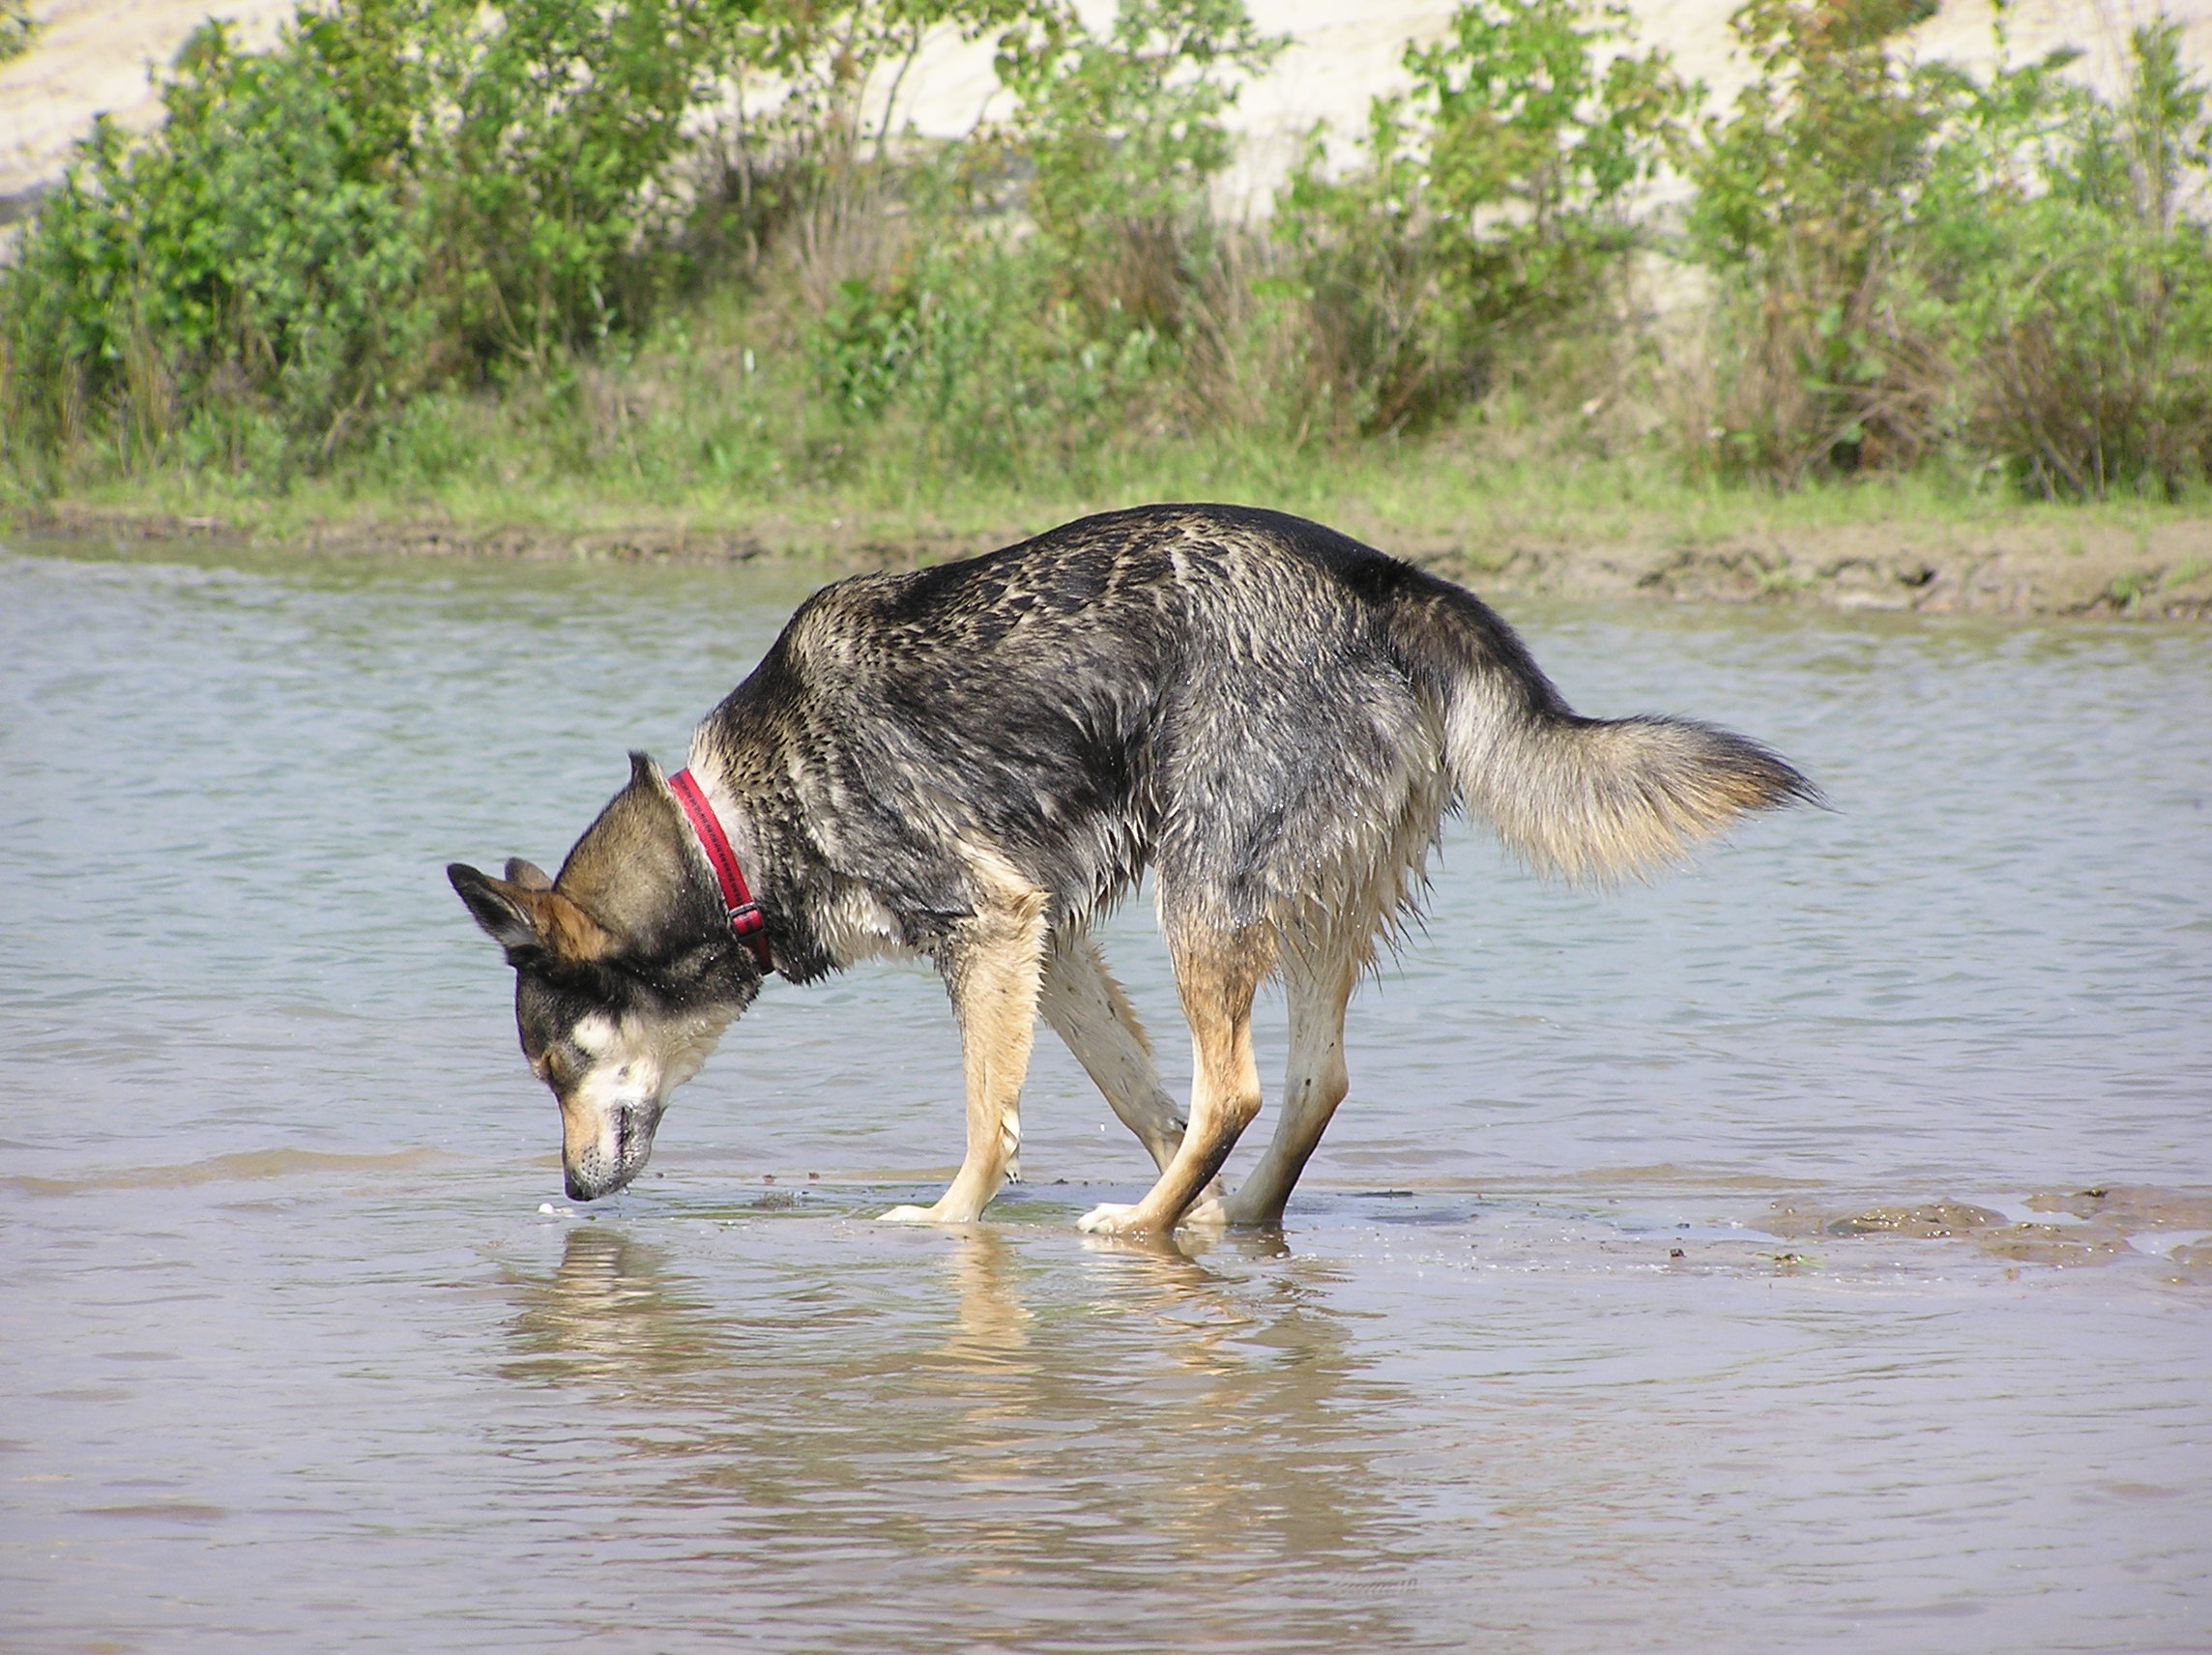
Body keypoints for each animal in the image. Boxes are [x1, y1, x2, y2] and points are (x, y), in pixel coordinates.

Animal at [449, 504, 1814, 1230]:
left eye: (552, 1065)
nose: (568, 1193)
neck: (731, 828)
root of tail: (1377, 579)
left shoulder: (992, 927)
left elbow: (989, 1121)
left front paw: (949, 1222)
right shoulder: (1048, 947)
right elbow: (1134, 1100)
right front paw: (1186, 1203)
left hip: (1201, 894)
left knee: (1239, 1086)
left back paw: (1143, 1227)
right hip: (1302, 904)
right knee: (1304, 1083)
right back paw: (1227, 1222)